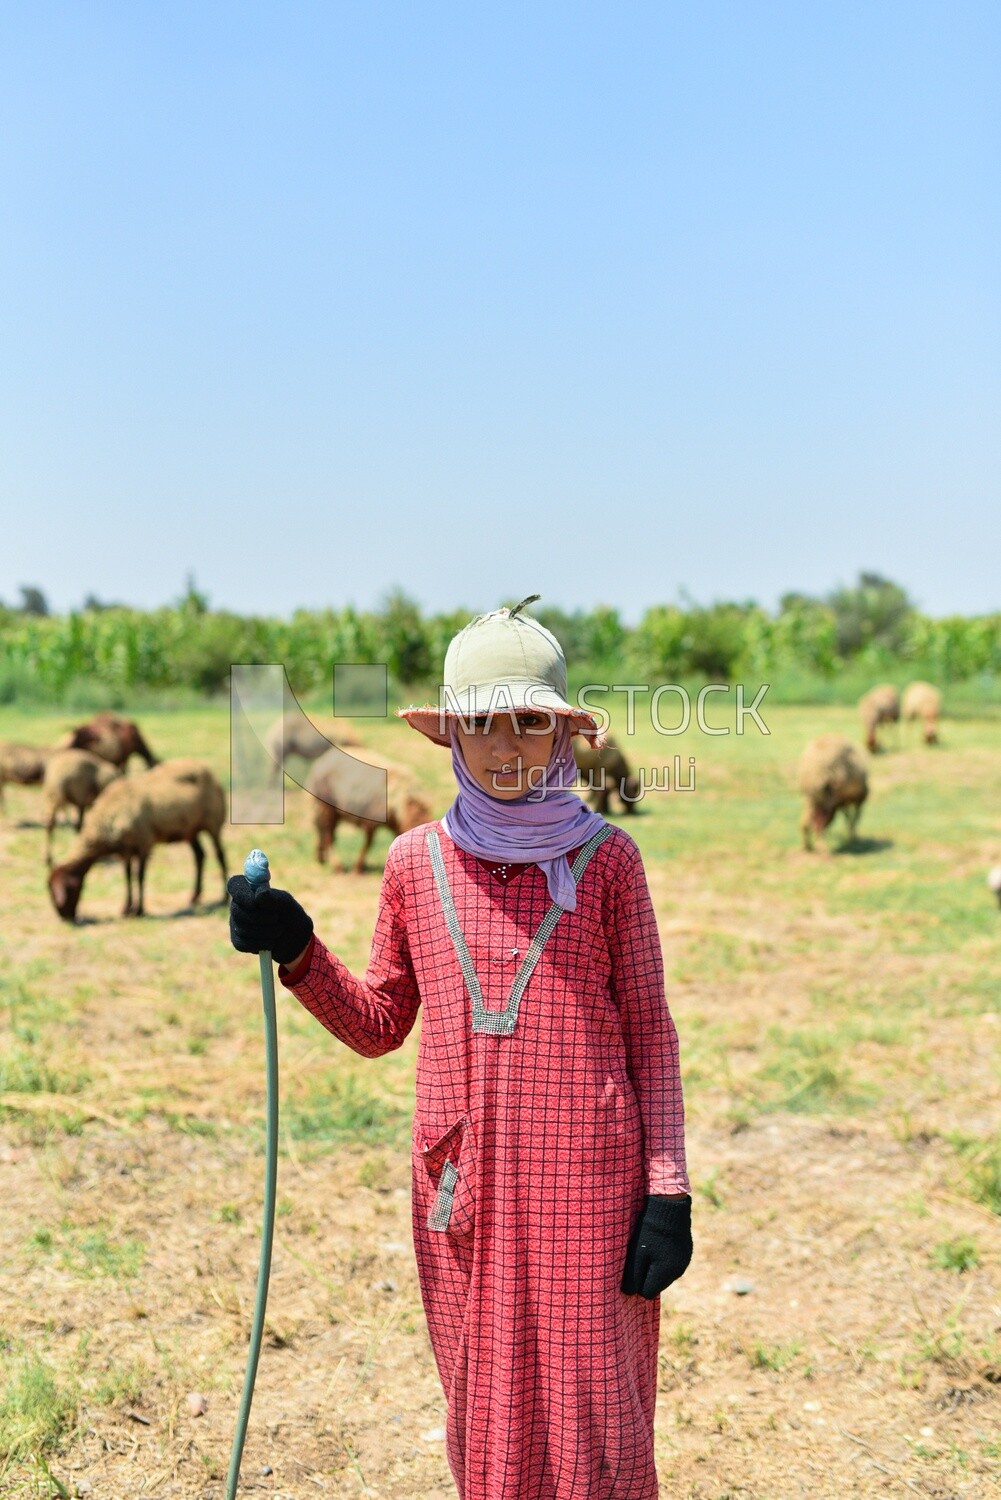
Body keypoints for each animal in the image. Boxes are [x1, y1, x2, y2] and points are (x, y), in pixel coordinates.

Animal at [48, 756, 226, 918]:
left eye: (66, 890)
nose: (65, 918)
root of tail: (207, 770)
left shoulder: (143, 843)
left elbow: (139, 876)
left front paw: (139, 910)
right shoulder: (125, 851)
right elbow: (127, 876)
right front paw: (127, 908)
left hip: (213, 822)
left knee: (220, 855)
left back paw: (223, 897)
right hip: (190, 829)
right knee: (199, 855)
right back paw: (194, 896)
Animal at [306, 744, 432, 876]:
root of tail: (322, 760)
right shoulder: (372, 817)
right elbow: (368, 843)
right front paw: (358, 868)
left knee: (323, 832)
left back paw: (321, 858)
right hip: (326, 806)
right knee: (328, 836)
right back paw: (337, 866)